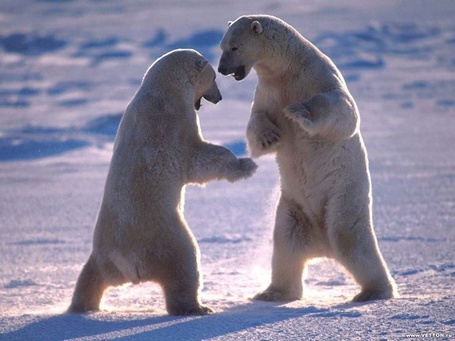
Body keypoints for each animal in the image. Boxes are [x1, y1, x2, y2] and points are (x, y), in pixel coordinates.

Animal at [69, 47, 258, 314]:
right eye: (213, 78)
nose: (219, 98)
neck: (162, 90)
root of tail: (127, 263)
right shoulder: (173, 121)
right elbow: (198, 160)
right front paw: (246, 165)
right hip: (165, 238)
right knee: (185, 264)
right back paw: (199, 307)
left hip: (102, 257)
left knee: (90, 277)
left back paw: (82, 307)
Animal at [219, 14, 398, 302]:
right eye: (222, 46)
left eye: (234, 47)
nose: (222, 69)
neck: (288, 68)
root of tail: (322, 245)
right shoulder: (267, 91)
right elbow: (257, 122)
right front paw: (269, 137)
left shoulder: (319, 77)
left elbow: (342, 111)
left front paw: (298, 112)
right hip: (293, 208)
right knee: (285, 244)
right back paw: (272, 292)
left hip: (342, 196)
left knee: (349, 237)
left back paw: (374, 291)